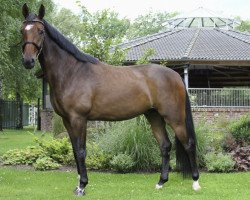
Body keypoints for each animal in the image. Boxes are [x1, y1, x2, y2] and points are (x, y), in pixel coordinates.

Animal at [21, 3, 201, 196]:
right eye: (22, 30)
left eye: (40, 31)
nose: (28, 61)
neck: (72, 72)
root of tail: (175, 76)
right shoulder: (67, 120)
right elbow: (75, 151)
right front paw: (78, 185)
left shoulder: (79, 119)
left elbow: (82, 151)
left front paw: (82, 186)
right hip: (154, 116)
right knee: (165, 146)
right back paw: (161, 183)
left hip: (174, 118)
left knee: (189, 144)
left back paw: (195, 183)